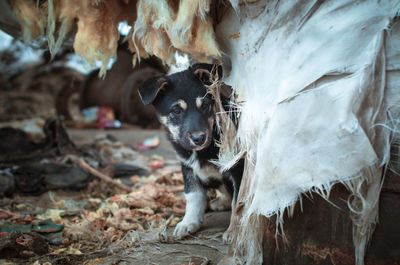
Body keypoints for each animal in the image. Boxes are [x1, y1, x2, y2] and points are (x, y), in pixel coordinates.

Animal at [138, 63, 244, 237]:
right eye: (176, 110)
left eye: (206, 105)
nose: (199, 138)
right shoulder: (188, 168)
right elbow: (193, 196)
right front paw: (188, 222)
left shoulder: (238, 168)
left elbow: (239, 203)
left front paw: (235, 232)